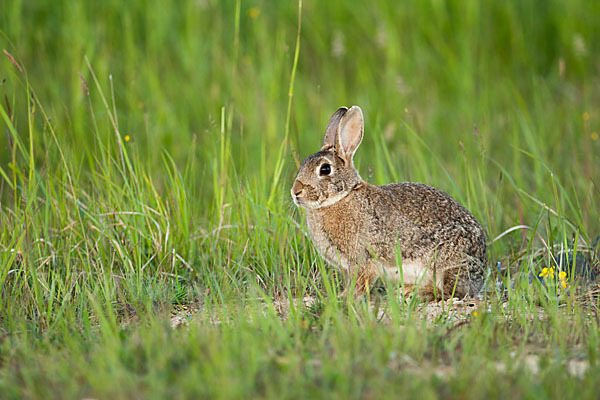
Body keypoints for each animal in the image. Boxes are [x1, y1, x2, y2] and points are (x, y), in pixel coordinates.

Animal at [292, 106, 488, 300]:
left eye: (325, 169)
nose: (295, 191)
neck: (341, 197)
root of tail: (480, 276)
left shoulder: (365, 259)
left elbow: (361, 283)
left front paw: (346, 298)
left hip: (446, 265)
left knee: (447, 291)